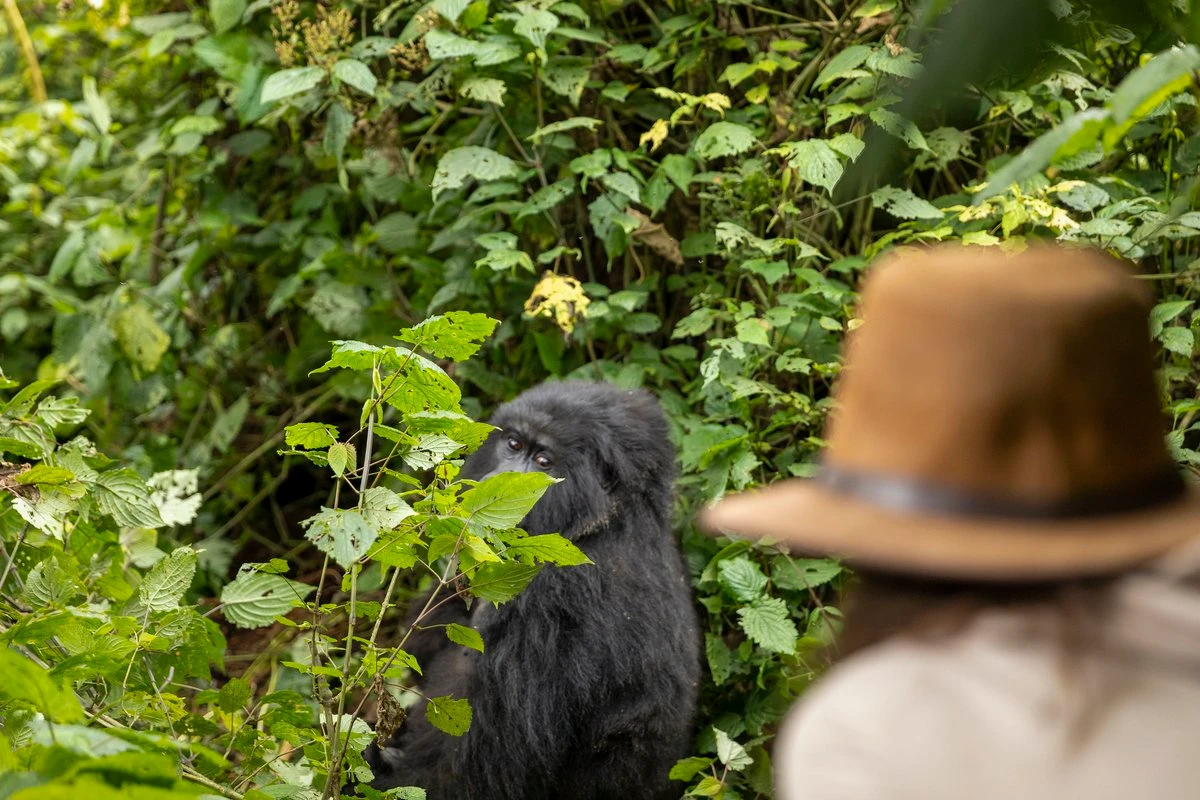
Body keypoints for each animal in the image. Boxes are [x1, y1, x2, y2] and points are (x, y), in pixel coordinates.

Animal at [363, 381, 701, 800]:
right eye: (513, 444)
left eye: (543, 461)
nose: (497, 486)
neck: (605, 521)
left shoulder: (554, 597)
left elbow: (480, 769)